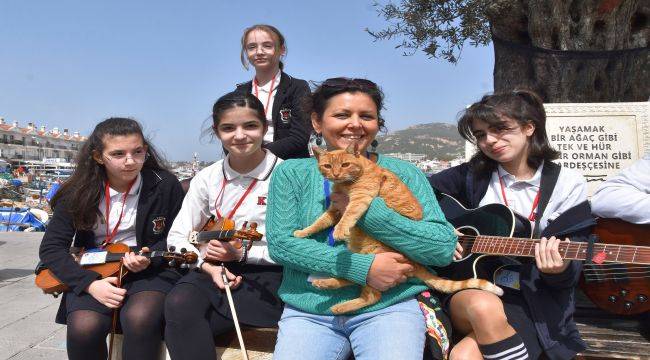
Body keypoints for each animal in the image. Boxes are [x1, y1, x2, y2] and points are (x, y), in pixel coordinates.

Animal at [294, 143, 502, 316]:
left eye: (345, 165)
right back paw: (326, 283)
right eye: (328, 166)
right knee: (355, 275)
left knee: (371, 293)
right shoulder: (334, 210)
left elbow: (348, 215)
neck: (347, 182)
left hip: (373, 252)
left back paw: (340, 305)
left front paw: (339, 230)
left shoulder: (360, 199)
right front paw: (303, 232)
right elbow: (319, 222)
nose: (336, 174)